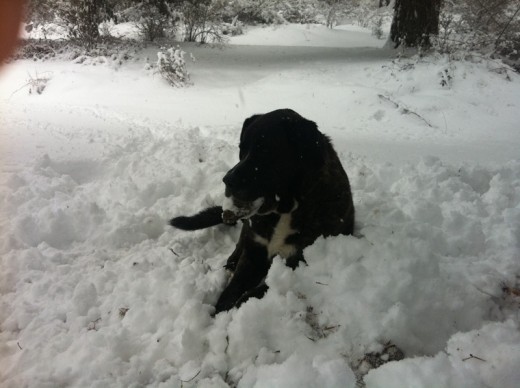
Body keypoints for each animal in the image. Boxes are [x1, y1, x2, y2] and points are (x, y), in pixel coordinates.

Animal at [171, 108, 354, 312]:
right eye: (241, 148)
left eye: (265, 150)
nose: (227, 180)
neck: (285, 210)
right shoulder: (254, 252)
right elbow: (231, 291)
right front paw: (218, 312)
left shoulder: (295, 262)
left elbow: (252, 294)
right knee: (236, 250)